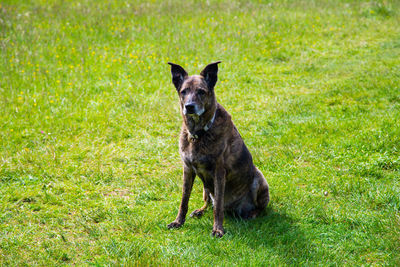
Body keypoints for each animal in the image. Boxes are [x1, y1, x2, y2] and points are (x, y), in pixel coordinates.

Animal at [166, 61, 268, 238]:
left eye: (201, 91)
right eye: (184, 91)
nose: (189, 107)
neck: (198, 134)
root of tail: (233, 209)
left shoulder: (219, 172)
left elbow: (218, 206)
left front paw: (218, 229)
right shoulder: (188, 169)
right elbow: (184, 200)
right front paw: (178, 222)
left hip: (259, 178)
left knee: (258, 208)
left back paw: (251, 213)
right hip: (206, 188)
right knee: (209, 202)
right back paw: (200, 211)